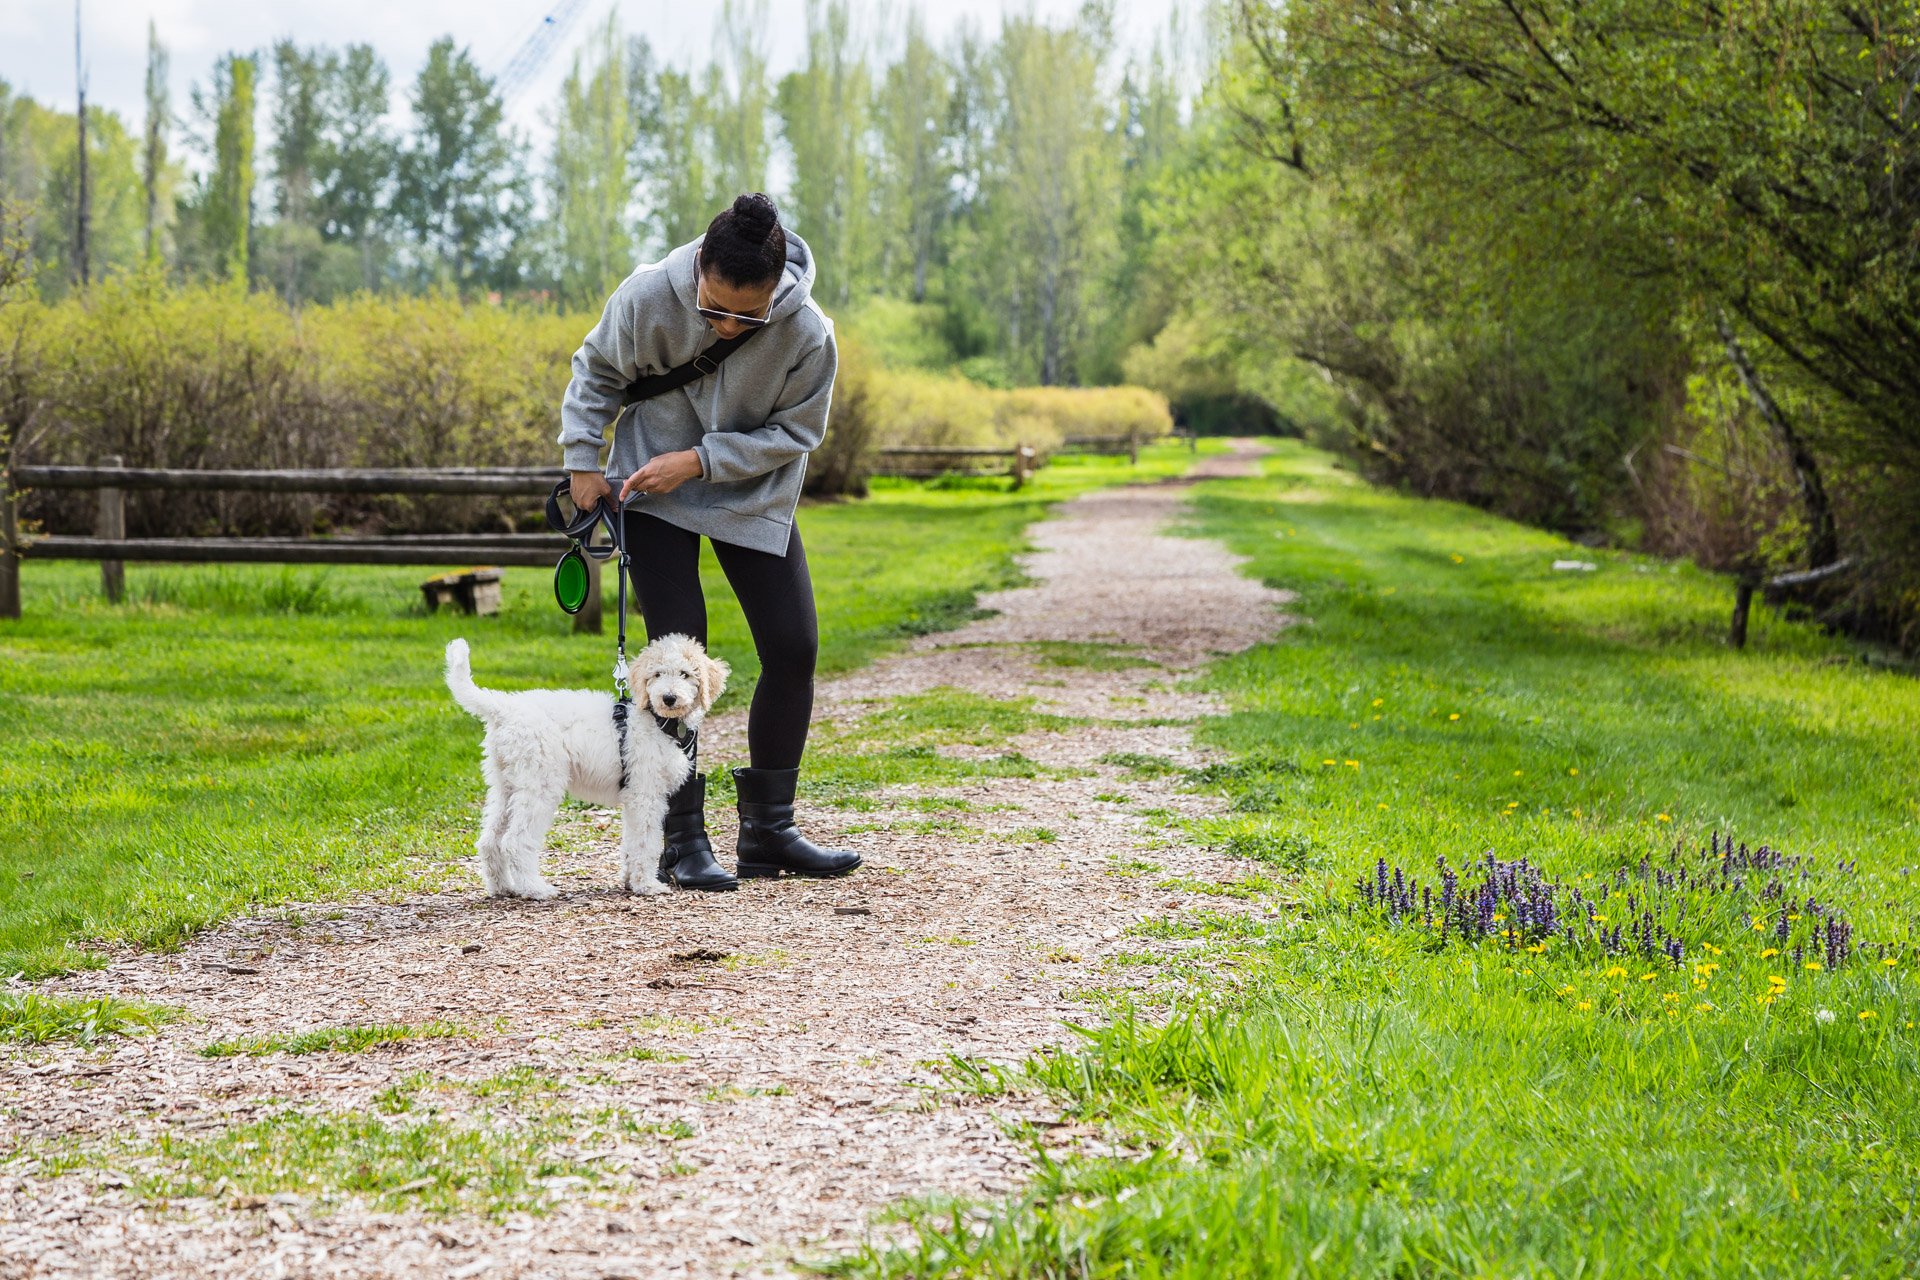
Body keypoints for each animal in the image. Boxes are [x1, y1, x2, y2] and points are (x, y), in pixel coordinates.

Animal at [445, 633, 729, 901]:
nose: (668, 698)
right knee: (515, 841)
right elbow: (645, 843)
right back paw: (536, 889)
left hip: (506, 785)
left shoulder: (634, 798)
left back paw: (503, 887)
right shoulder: (646, 796)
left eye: (685, 674)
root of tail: (503, 708)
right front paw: (647, 885)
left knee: (489, 840)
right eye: (657, 674)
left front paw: (630, 880)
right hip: (541, 785)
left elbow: (631, 841)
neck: (656, 718)